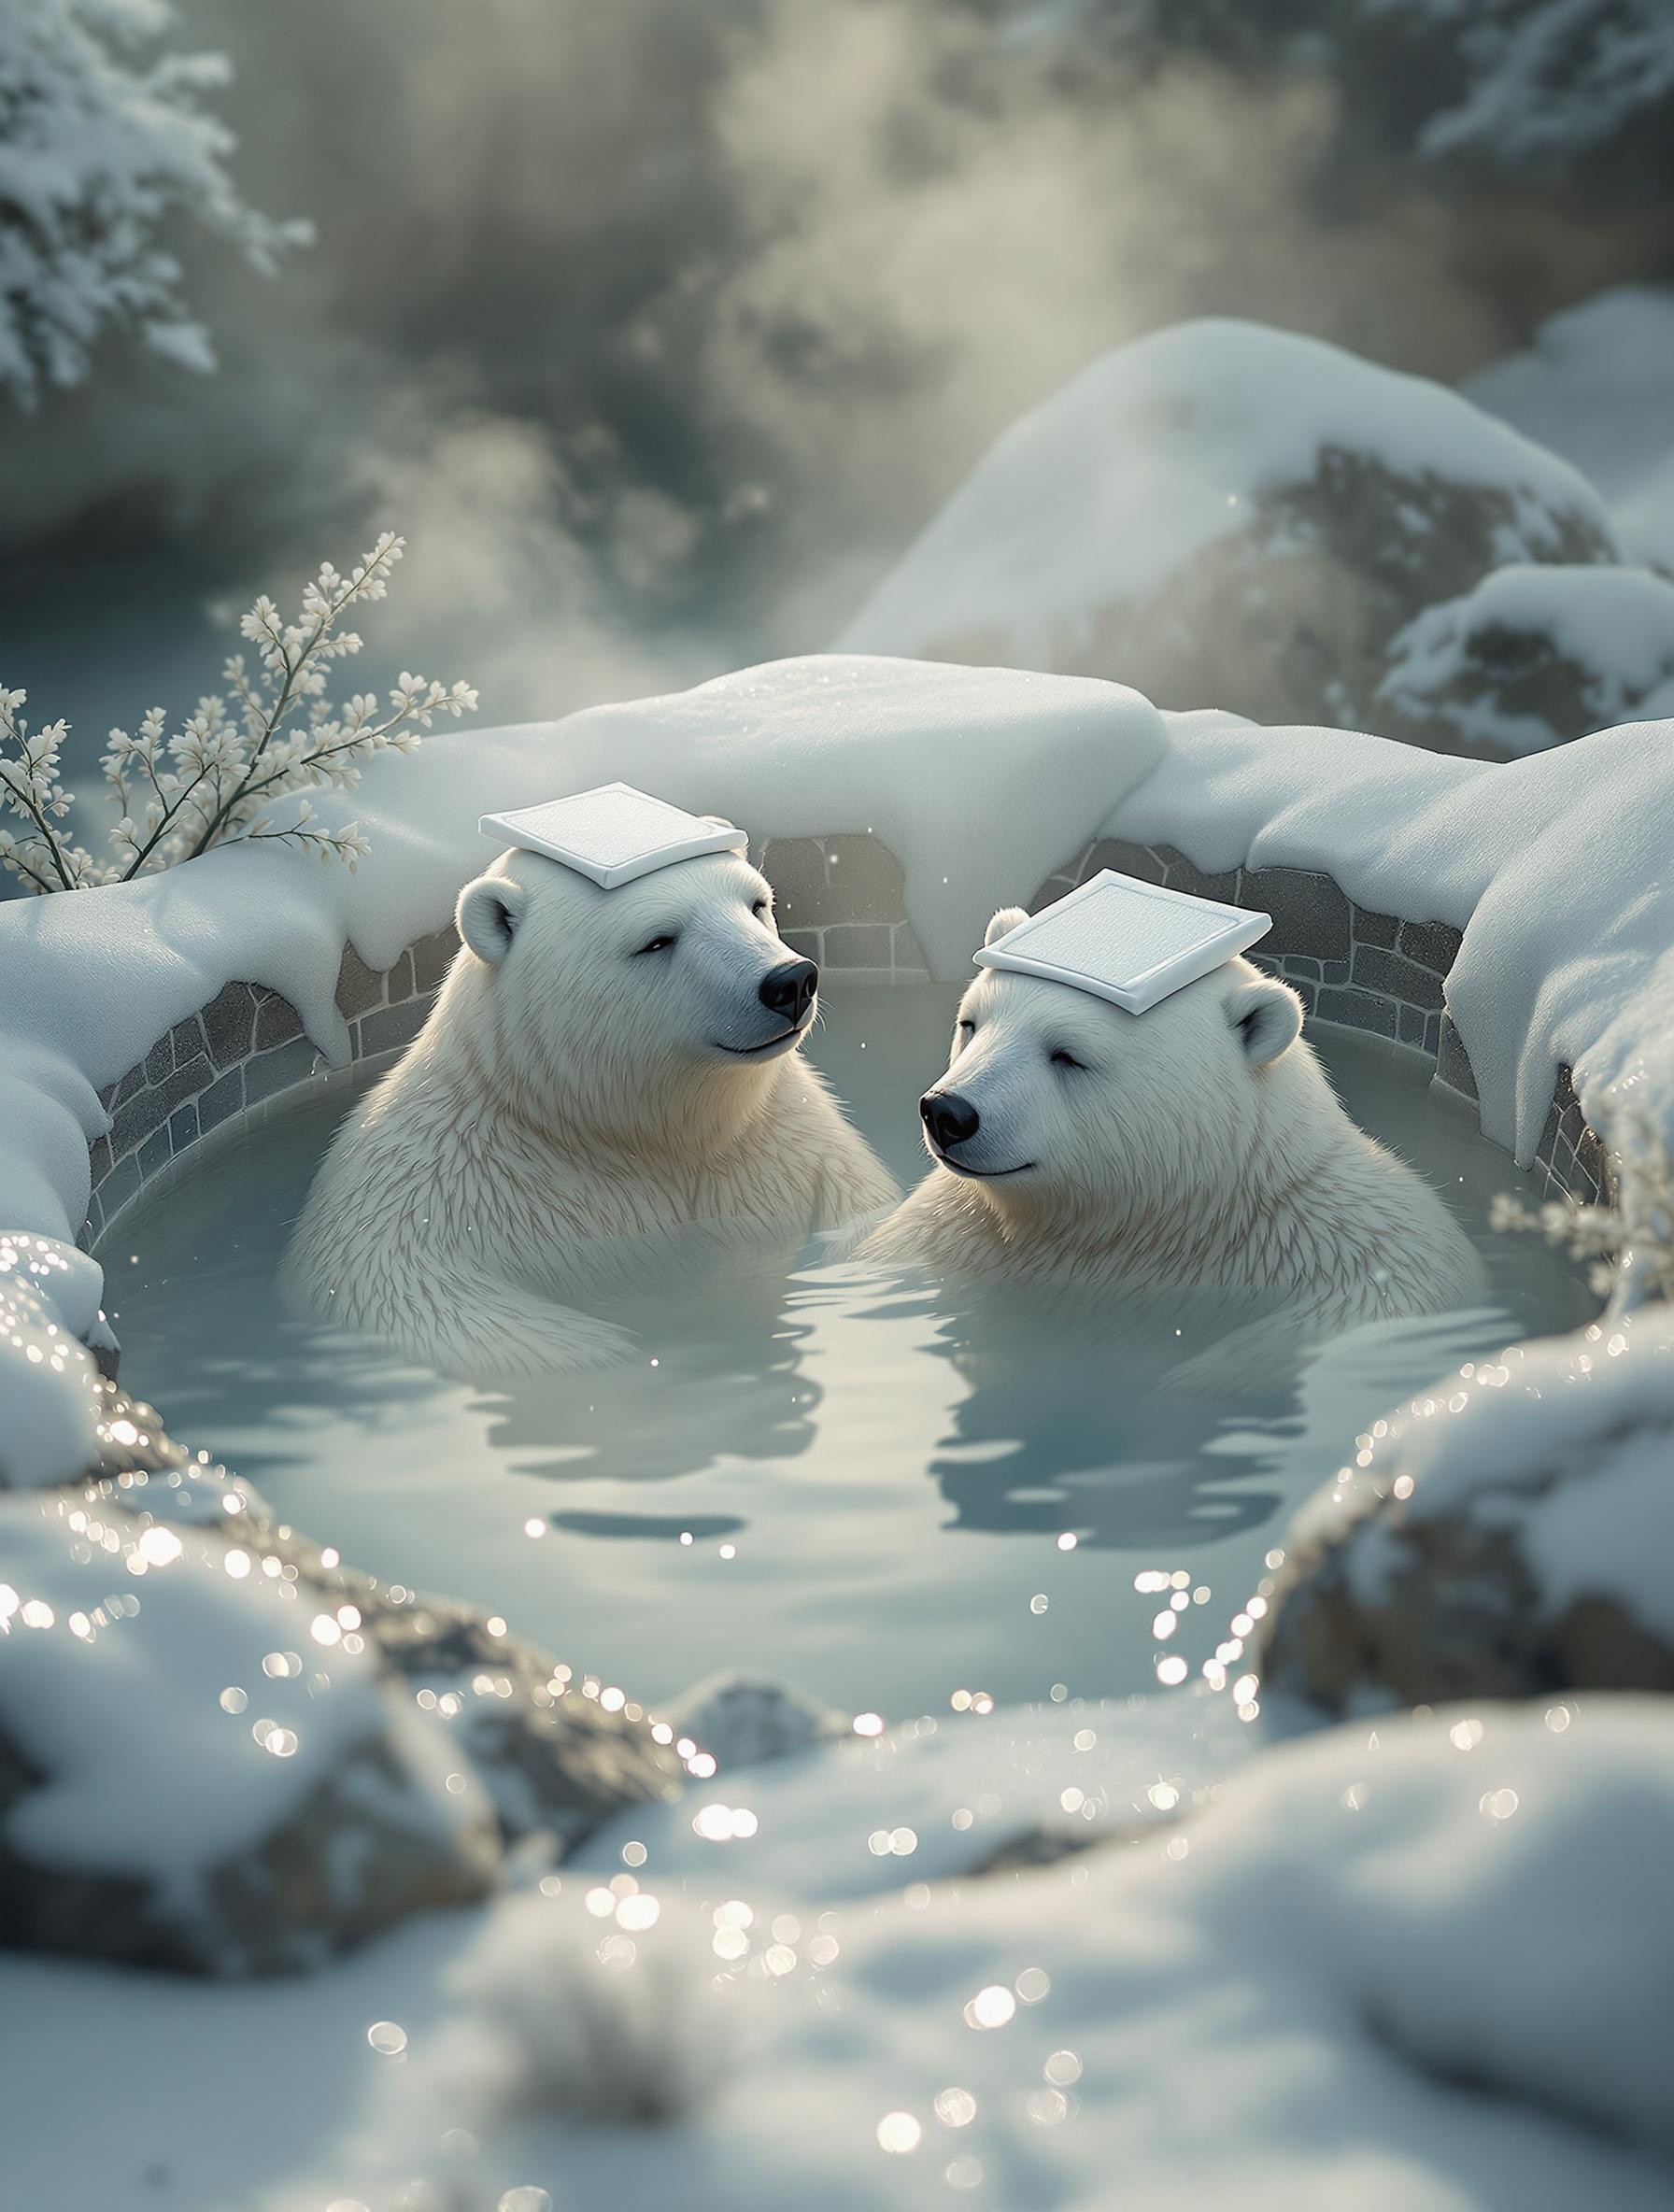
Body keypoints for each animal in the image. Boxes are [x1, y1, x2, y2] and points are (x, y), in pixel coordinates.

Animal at [281, 842, 899, 1379]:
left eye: (757, 904)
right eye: (657, 939)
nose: (789, 982)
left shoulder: (789, 1144)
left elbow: (862, 1218)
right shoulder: (427, 1191)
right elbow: (427, 1302)